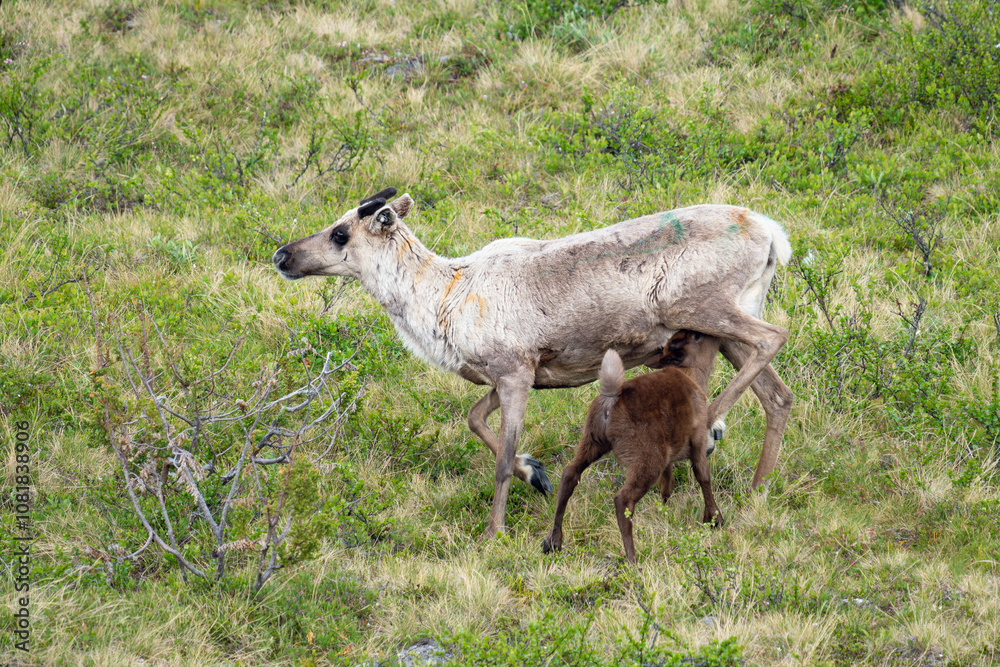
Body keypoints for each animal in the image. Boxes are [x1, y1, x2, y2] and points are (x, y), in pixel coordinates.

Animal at [272, 187, 794, 538]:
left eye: (340, 234)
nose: (281, 254)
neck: (442, 298)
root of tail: (772, 234)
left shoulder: (515, 370)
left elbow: (500, 458)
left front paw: (494, 532)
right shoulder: (512, 376)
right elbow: (473, 419)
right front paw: (536, 473)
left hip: (702, 308)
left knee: (773, 338)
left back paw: (714, 427)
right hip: (722, 328)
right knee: (778, 394)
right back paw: (758, 488)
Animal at [541, 330, 724, 564]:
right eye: (696, 336)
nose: (715, 335)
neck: (693, 376)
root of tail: (611, 398)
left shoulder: (669, 454)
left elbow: (667, 485)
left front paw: (664, 510)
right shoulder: (699, 436)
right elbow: (703, 476)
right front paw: (714, 519)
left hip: (592, 441)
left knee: (569, 474)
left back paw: (554, 541)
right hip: (646, 457)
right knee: (623, 499)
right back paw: (633, 559)